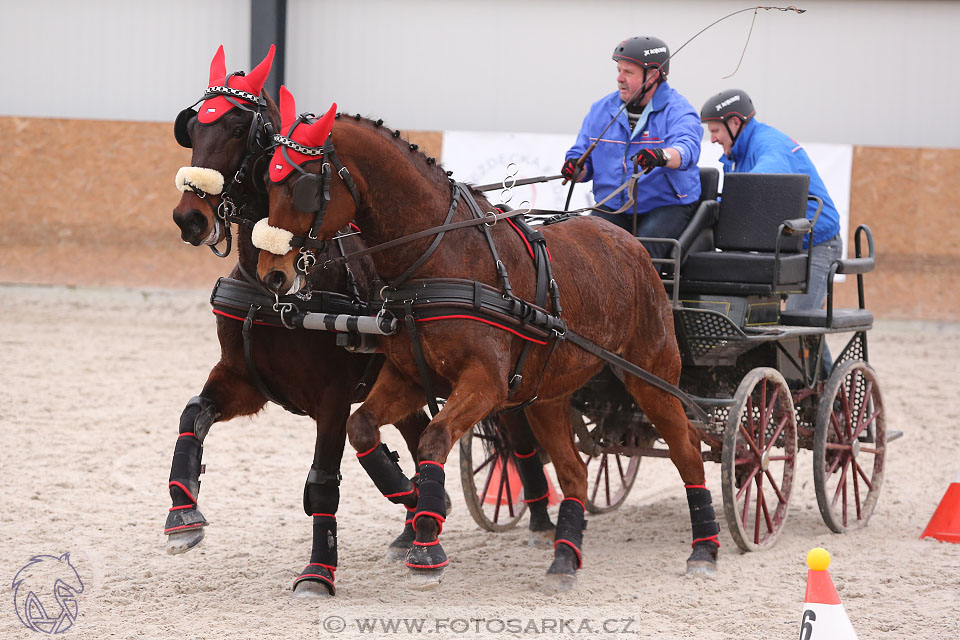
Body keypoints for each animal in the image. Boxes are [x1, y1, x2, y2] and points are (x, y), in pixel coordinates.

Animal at [166, 46, 442, 600]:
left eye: (238, 129)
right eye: (193, 126)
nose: (190, 218)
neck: (278, 292)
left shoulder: (332, 399)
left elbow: (322, 483)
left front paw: (318, 572)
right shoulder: (245, 379)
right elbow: (192, 415)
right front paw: (183, 515)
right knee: (416, 435)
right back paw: (413, 521)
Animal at [253, 87, 720, 592]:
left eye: (300, 185)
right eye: (266, 179)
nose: (272, 274)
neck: (439, 257)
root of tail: (632, 243)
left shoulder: (485, 384)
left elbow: (434, 439)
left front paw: (427, 540)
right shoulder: (409, 377)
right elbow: (362, 427)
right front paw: (407, 492)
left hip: (652, 376)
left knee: (687, 452)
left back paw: (705, 549)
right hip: (546, 396)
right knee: (574, 472)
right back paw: (564, 559)